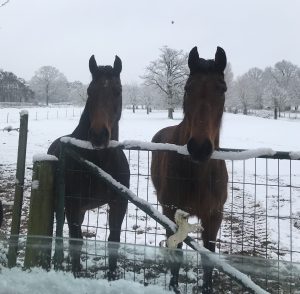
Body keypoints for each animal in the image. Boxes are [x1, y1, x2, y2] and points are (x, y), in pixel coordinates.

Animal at [48, 54, 129, 278]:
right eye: (89, 91)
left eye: (118, 91)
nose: (99, 135)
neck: (100, 162)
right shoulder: (73, 206)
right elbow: (76, 241)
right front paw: (76, 273)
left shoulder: (119, 203)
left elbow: (114, 242)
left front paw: (111, 277)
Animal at [152, 47, 227, 292]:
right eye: (187, 88)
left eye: (222, 89)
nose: (200, 148)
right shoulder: (171, 212)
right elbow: (176, 250)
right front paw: (174, 285)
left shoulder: (214, 215)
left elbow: (208, 257)